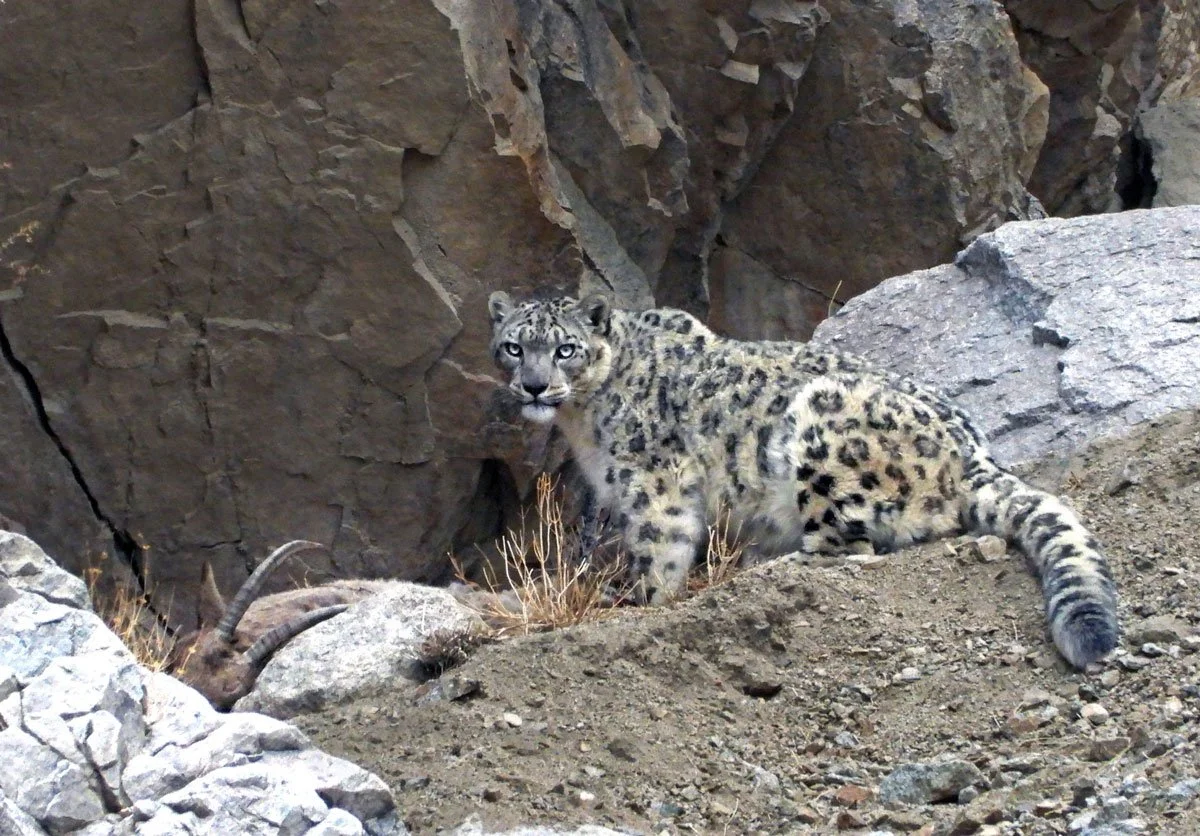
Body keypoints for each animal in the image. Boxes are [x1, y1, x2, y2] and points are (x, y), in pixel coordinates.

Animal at [487, 291, 1120, 668]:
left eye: (566, 349)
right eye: (514, 346)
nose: (534, 386)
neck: (582, 419)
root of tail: (973, 454)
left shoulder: (652, 483)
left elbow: (658, 546)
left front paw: (634, 597)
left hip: (821, 435)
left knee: (851, 546)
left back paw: (772, 564)